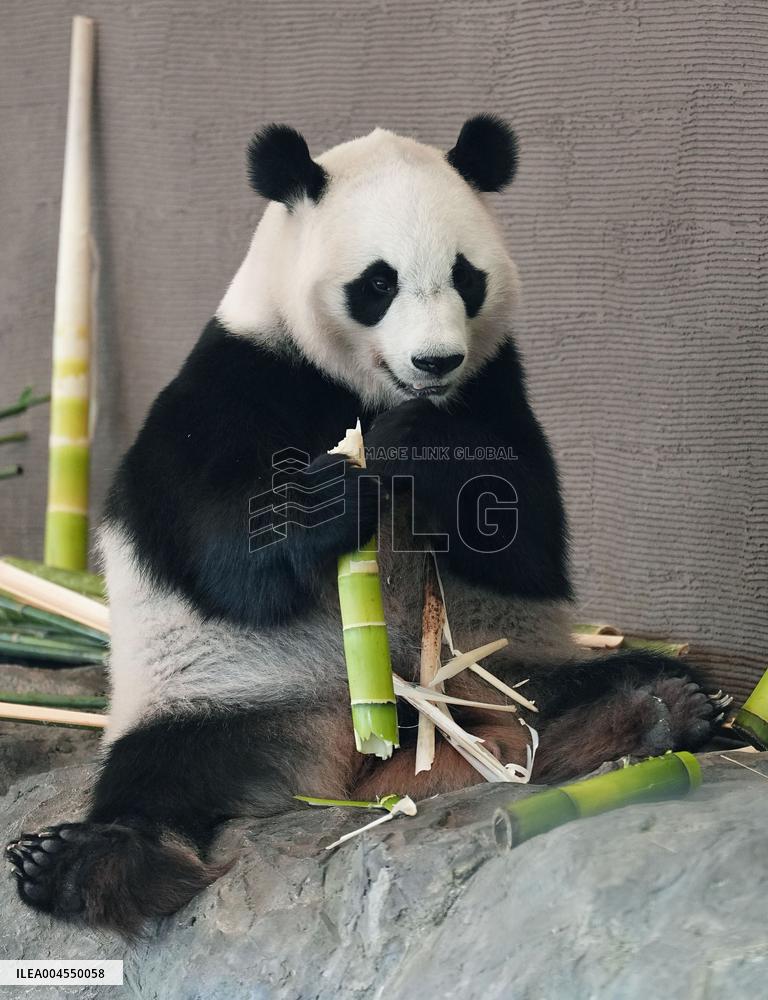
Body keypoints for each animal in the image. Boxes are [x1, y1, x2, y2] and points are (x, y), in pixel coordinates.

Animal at [7, 115, 723, 936]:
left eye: (467, 277)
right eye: (378, 283)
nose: (436, 361)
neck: (370, 389)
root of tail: (361, 766)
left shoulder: (498, 386)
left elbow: (528, 545)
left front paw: (423, 446)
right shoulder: (237, 378)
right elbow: (224, 554)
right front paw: (348, 487)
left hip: (493, 672)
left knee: (566, 696)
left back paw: (657, 714)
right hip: (229, 694)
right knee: (161, 774)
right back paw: (86, 864)